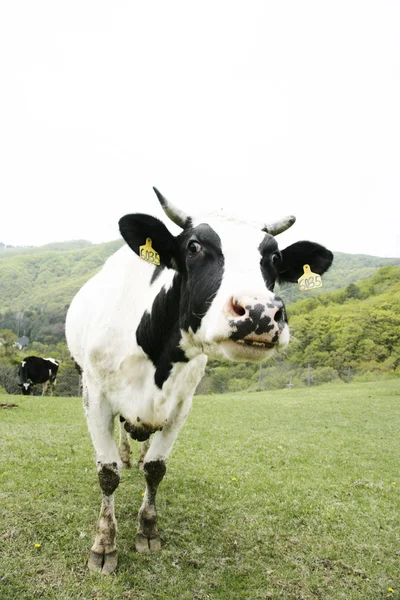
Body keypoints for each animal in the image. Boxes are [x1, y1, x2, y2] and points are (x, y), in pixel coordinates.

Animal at [66, 188, 334, 572]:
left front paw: (148, 531)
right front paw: (104, 545)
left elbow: (156, 468)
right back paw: (127, 455)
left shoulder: (181, 404)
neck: (155, 354)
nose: (260, 311)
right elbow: (108, 473)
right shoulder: (95, 395)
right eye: (193, 246)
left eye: (275, 256)